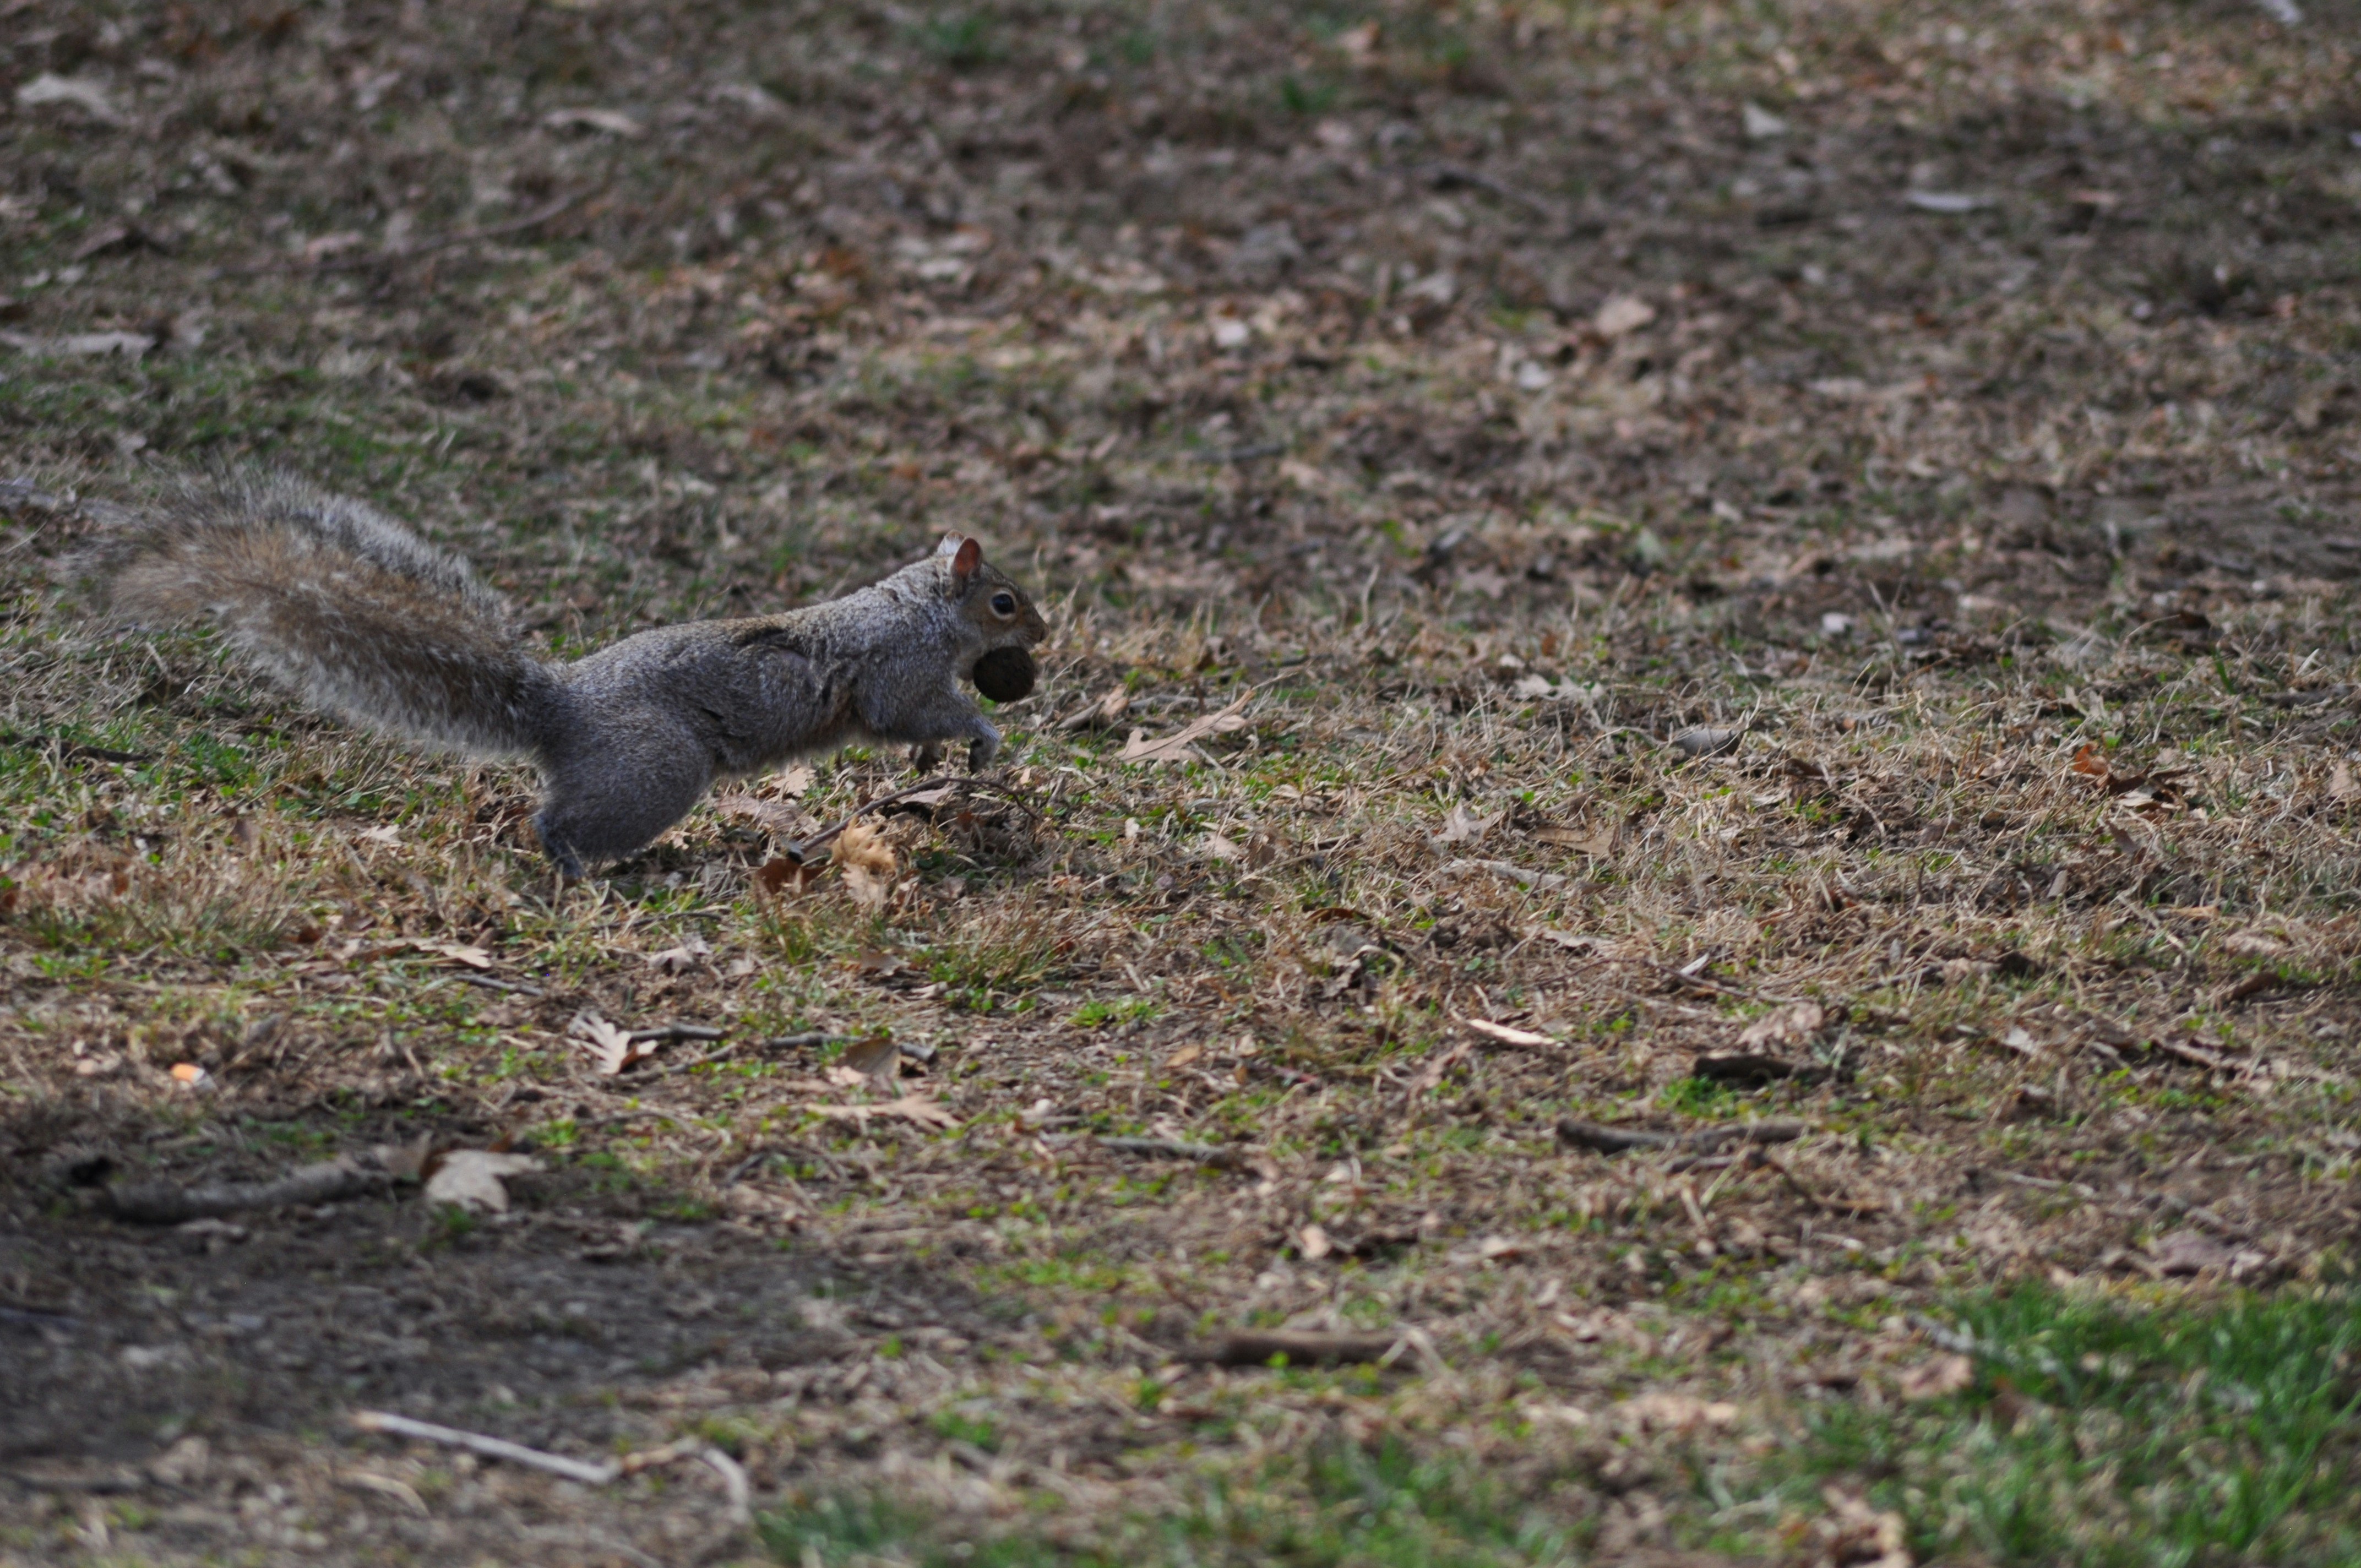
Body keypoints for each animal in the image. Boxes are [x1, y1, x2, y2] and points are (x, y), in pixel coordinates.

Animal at [79, 471, 1050, 876]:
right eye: (1005, 602)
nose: (1045, 629)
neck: (924, 611)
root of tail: (557, 710)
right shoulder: (900, 673)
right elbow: (916, 712)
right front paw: (982, 737)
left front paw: (935, 765)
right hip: (655, 769)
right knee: (555, 822)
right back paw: (583, 870)